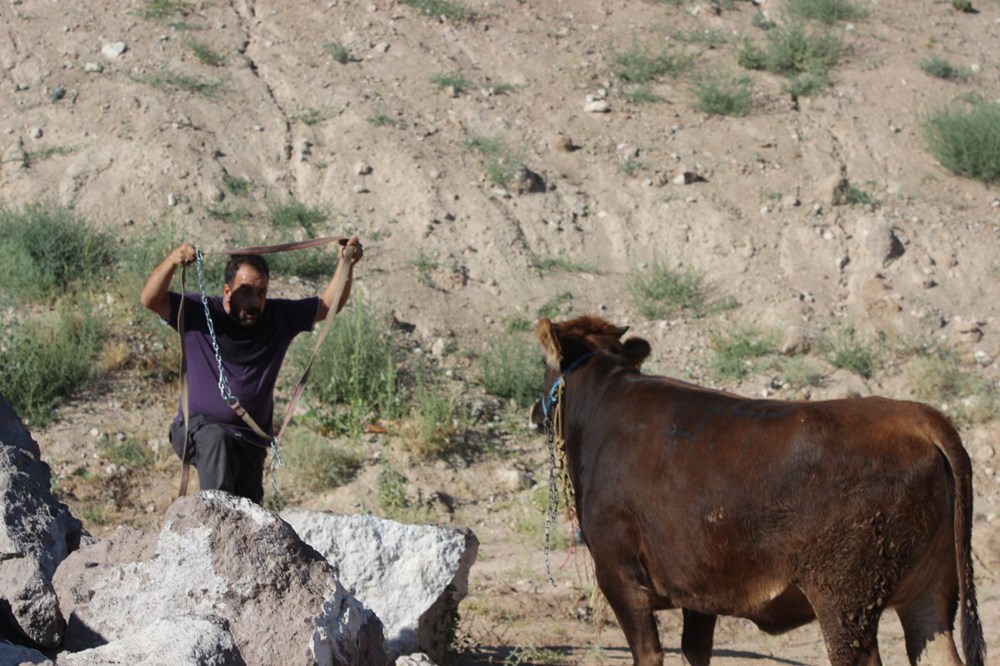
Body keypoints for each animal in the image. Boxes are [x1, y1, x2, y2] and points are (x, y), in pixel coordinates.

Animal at [532, 312, 984, 664]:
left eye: (543, 367)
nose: (535, 410)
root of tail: (919, 418)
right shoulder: (698, 588)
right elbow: (696, 651)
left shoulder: (620, 578)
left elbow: (649, 654)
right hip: (930, 594)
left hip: (846, 603)